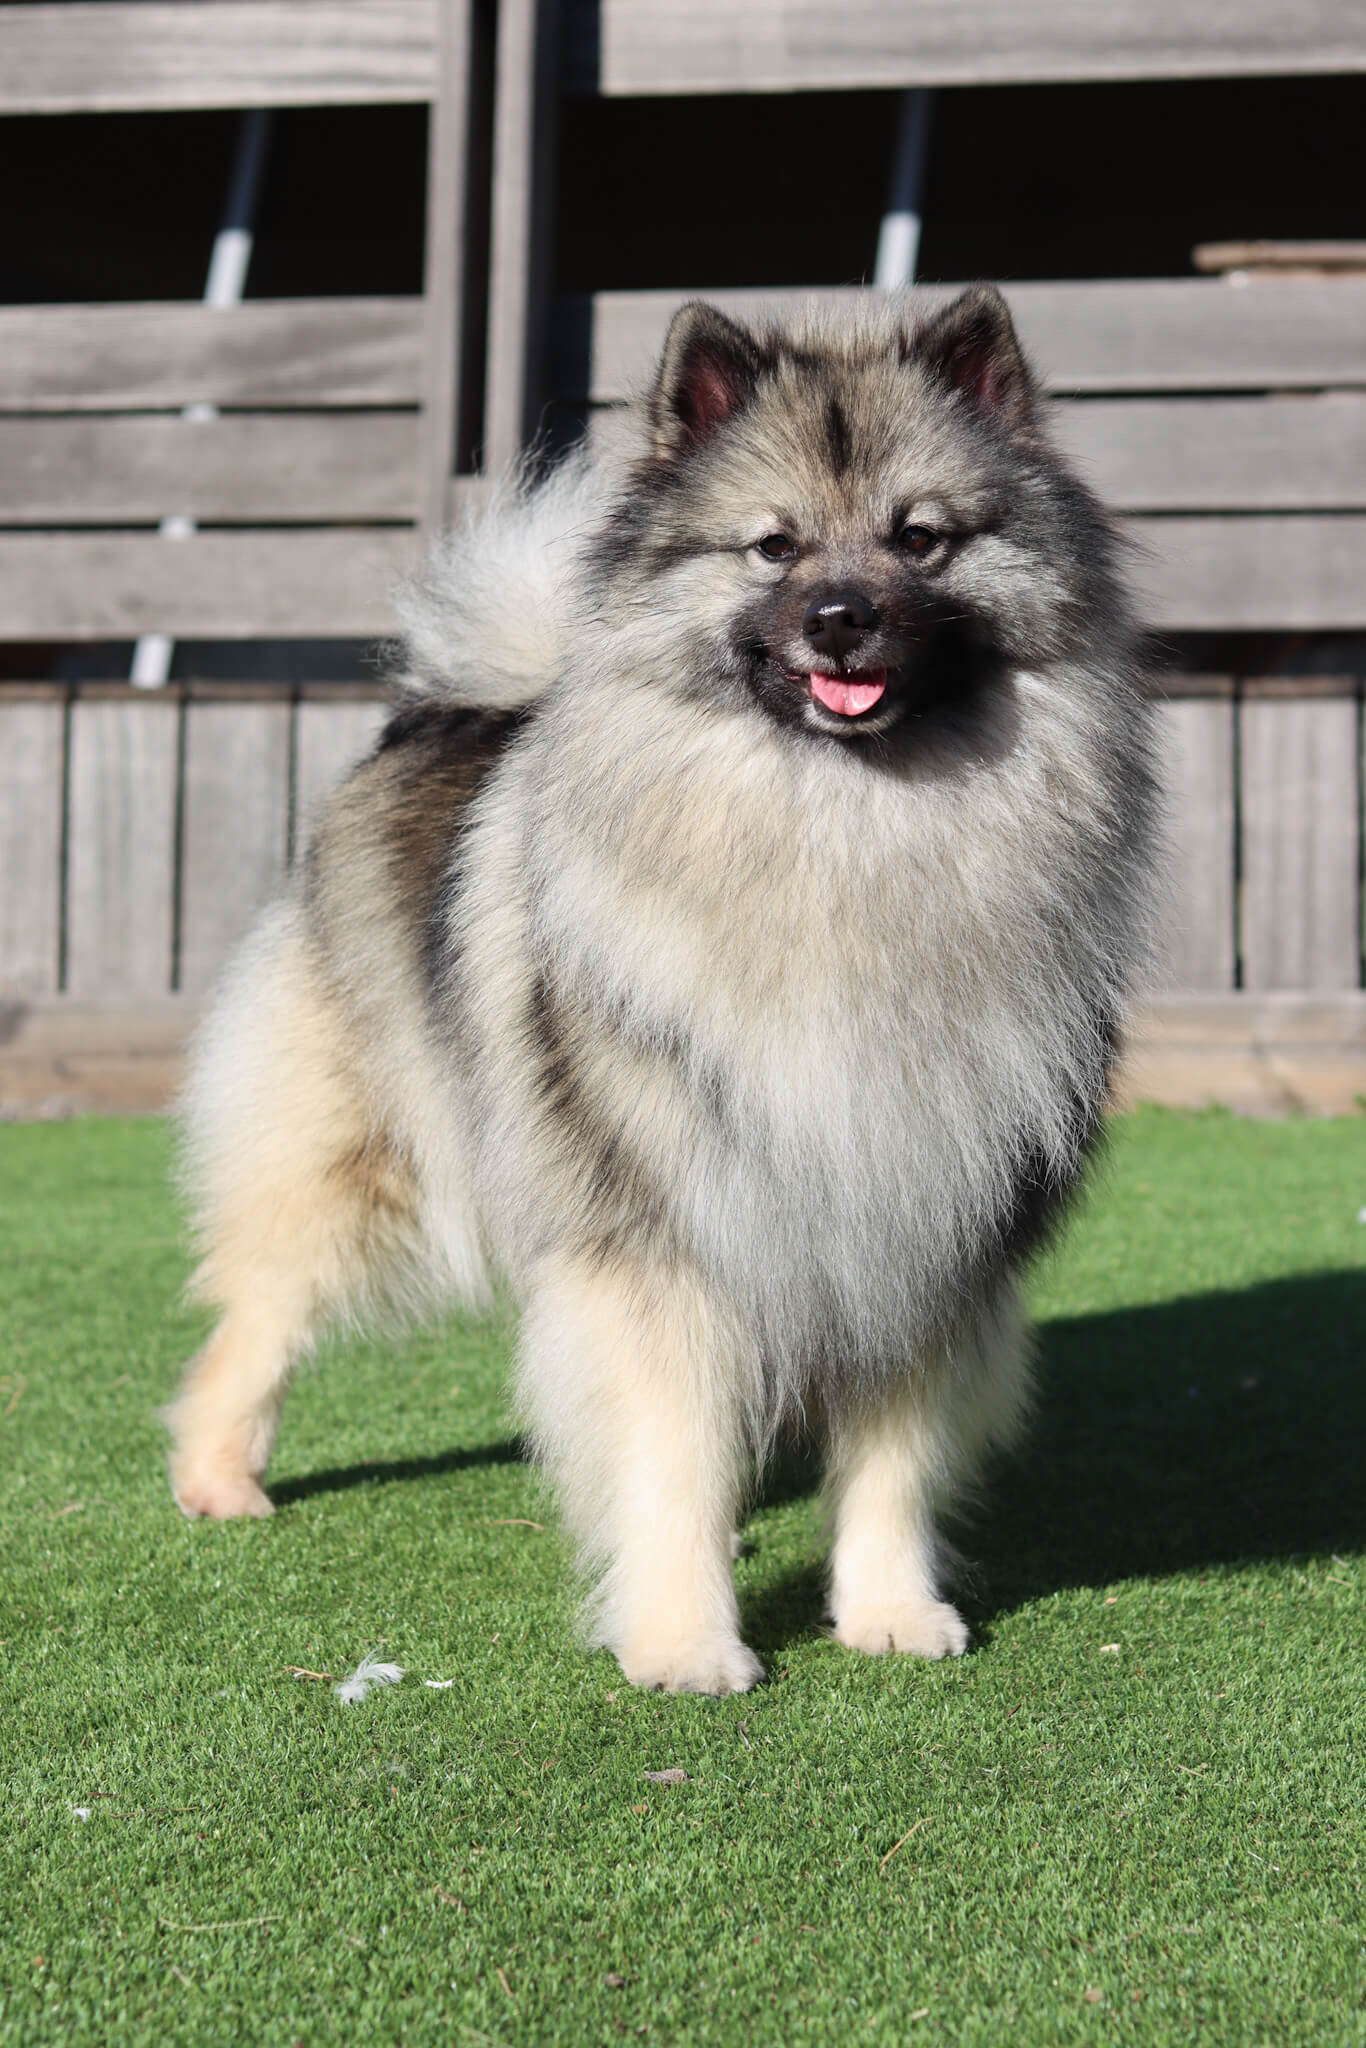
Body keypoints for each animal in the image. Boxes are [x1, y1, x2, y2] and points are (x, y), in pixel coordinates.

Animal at [165, 288, 1163, 1695]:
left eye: (918, 538)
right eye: (772, 546)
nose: (841, 616)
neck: (847, 838)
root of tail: (445, 710)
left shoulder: (919, 1228)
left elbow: (892, 1462)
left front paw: (888, 1610)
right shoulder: (660, 1237)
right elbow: (672, 1451)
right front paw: (686, 1638)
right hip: (357, 1158)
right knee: (255, 1309)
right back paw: (216, 1475)